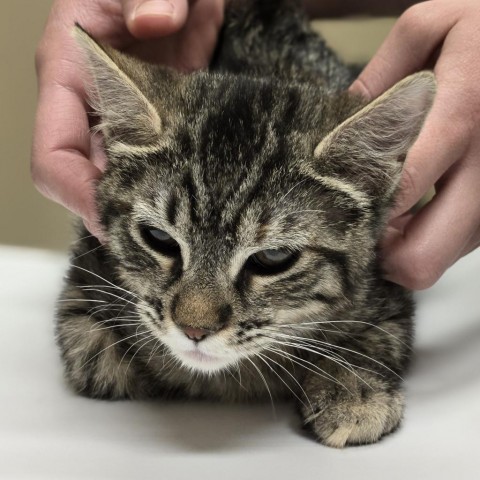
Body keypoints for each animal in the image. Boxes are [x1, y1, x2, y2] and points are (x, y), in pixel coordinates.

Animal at [56, 0, 436, 450]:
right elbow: (93, 352)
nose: (194, 329)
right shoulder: (84, 275)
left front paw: (352, 389)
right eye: (159, 238)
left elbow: (382, 332)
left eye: (273, 257)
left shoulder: (384, 286)